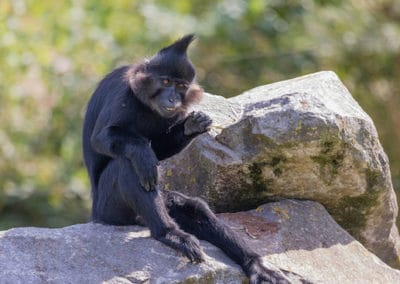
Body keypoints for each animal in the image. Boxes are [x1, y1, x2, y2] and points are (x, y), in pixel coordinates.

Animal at [82, 34, 290, 282]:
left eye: (180, 86)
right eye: (165, 82)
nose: (173, 98)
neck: (147, 104)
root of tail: (95, 215)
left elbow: (161, 149)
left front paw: (192, 125)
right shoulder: (123, 94)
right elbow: (101, 139)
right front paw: (143, 153)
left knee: (195, 208)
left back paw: (255, 264)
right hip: (110, 211)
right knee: (127, 165)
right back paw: (170, 234)